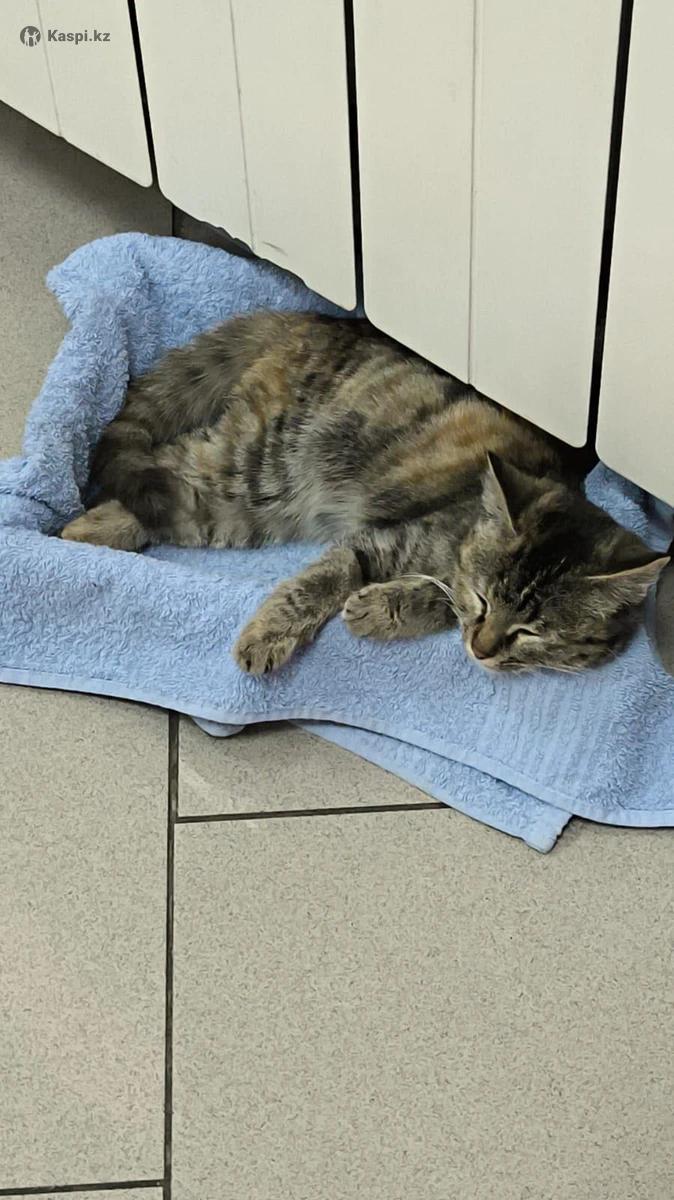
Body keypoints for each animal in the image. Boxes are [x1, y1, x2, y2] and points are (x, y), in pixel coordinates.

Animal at [59, 311, 668, 675]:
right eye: (487, 600)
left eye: (532, 631)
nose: (482, 650)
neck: (462, 540)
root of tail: (315, 318)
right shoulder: (378, 542)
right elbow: (328, 576)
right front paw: (273, 630)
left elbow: (435, 600)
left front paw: (387, 606)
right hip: (258, 465)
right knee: (158, 465)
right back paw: (76, 520)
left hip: (243, 510)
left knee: (169, 502)